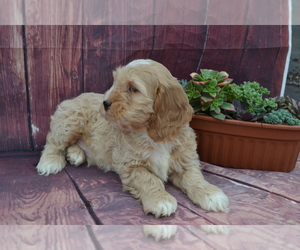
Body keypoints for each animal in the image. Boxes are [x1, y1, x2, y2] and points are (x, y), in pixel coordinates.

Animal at [37, 59, 230, 218]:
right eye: (115, 83)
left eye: (133, 88)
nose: (105, 103)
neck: (151, 135)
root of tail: (73, 98)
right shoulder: (131, 165)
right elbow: (149, 179)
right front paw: (160, 200)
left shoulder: (185, 161)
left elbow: (195, 177)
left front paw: (211, 193)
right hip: (70, 121)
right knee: (53, 142)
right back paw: (50, 162)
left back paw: (75, 154)